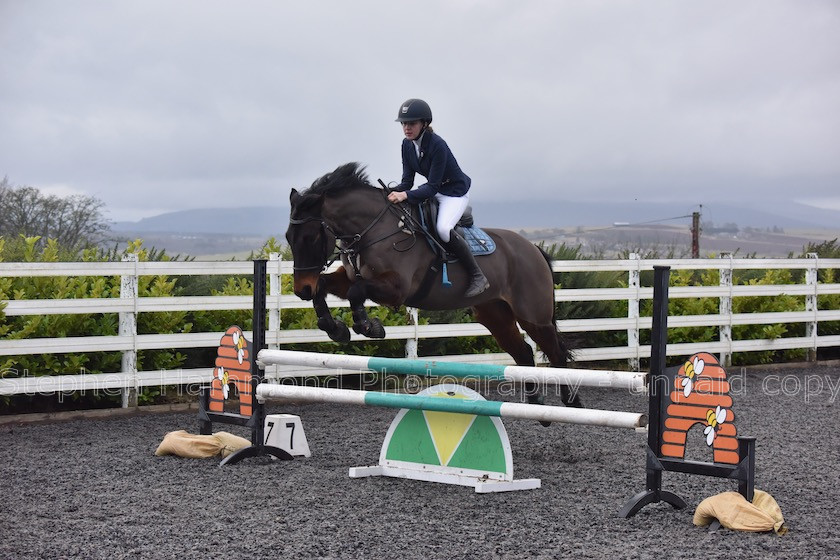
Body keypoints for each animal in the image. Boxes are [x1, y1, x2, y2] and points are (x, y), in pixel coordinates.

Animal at [286, 160, 580, 410]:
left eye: (312, 238)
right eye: (289, 237)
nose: (301, 290)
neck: (375, 229)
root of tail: (533, 249)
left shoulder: (396, 289)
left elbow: (357, 292)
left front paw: (368, 326)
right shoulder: (349, 278)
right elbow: (325, 286)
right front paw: (334, 327)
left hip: (533, 316)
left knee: (555, 354)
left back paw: (571, 403)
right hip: (495, 316)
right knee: (524, 353)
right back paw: (537, 407)